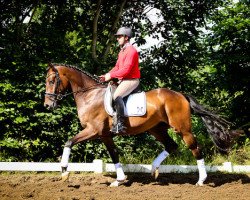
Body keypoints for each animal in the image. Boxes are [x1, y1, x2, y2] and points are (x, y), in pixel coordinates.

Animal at [44, 63, 238, 187]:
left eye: (52, 81)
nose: (47, 105)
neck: (90, 96)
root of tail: (180, 95)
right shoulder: (105, 135)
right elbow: (114, 154)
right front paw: (119, 180)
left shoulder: (93, 130)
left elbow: (69, 142)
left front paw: (64, 171)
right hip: (156, 129)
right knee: (171, 145)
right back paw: (154, 169)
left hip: (183, 129)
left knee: (195, 149)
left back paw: (201, 180)